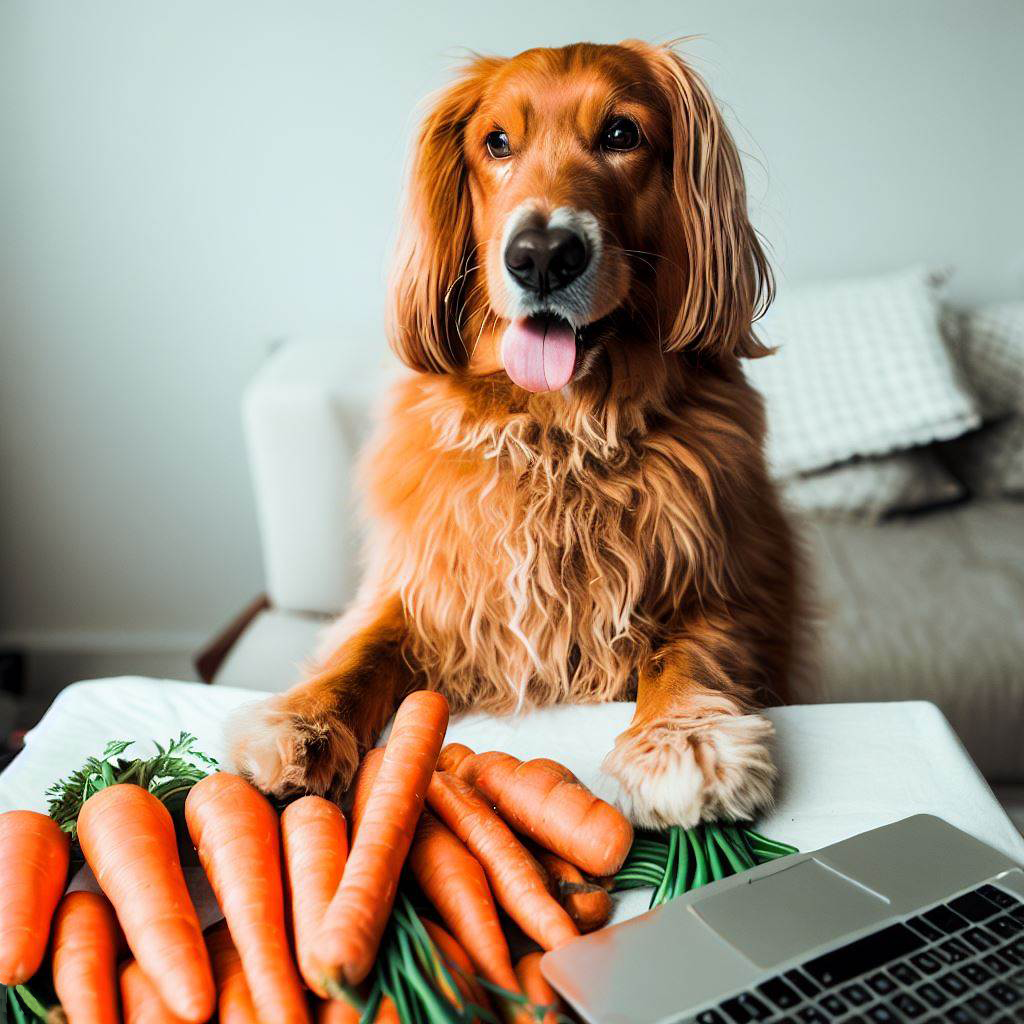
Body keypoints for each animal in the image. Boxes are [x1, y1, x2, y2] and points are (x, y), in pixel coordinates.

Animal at [228, 39, 802, 827]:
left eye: (621, 133)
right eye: (496, 143)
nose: (541, 256)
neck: (558, 432)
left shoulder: (724, 580)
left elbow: (691, 648)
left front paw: (681, 736)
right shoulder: (426, 583)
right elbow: (366, 647)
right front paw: (303, 721)